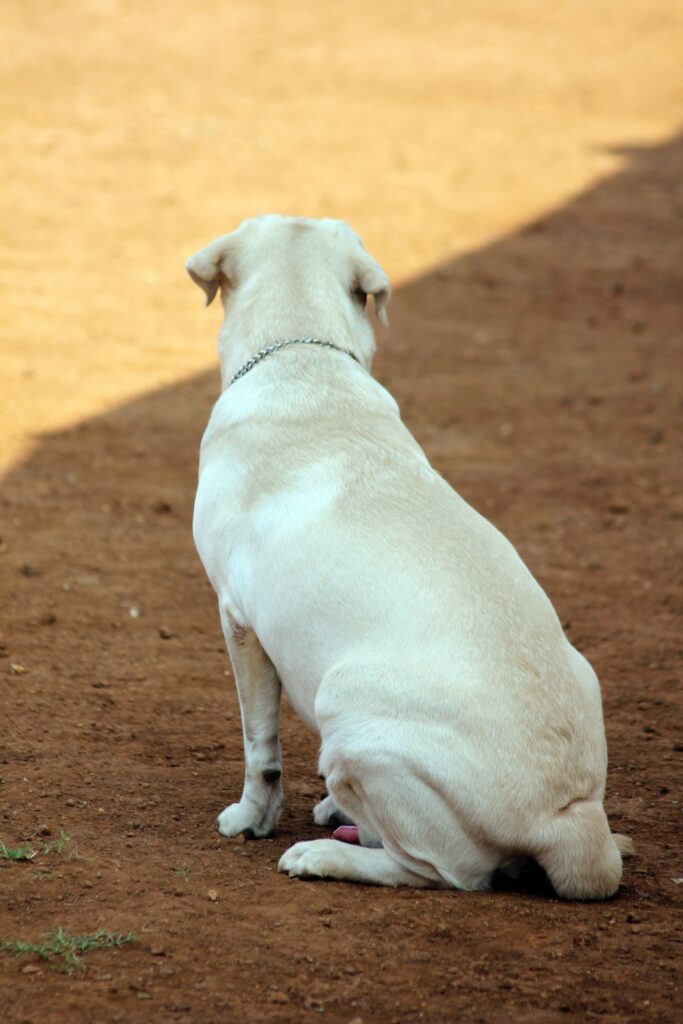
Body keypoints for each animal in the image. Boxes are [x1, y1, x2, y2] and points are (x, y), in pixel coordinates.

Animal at [185, 216, 630, 897]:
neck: (303, 359)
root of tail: (570, 821)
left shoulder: (238, 620)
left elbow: (260, 748)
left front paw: (250, 820)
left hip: (345, 703)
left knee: (445, 871)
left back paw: (324, 855)